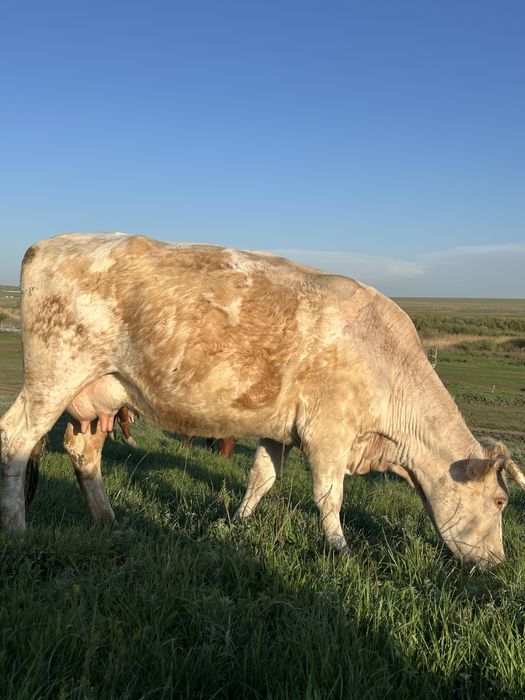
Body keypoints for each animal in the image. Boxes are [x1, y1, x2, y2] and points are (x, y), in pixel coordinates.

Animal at [1, 232, 524, 567]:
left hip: (100, 394)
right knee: (16, 440)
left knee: (83, 452)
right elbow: (329, 495)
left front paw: (234, 525)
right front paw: (340, 548)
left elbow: (261, 479)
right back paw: (17, 529)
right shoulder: (328, 432)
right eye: (501, 501)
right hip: (53, 377)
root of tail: (51, 242)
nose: (499, 565)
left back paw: (108, 522)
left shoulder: (280, 429)